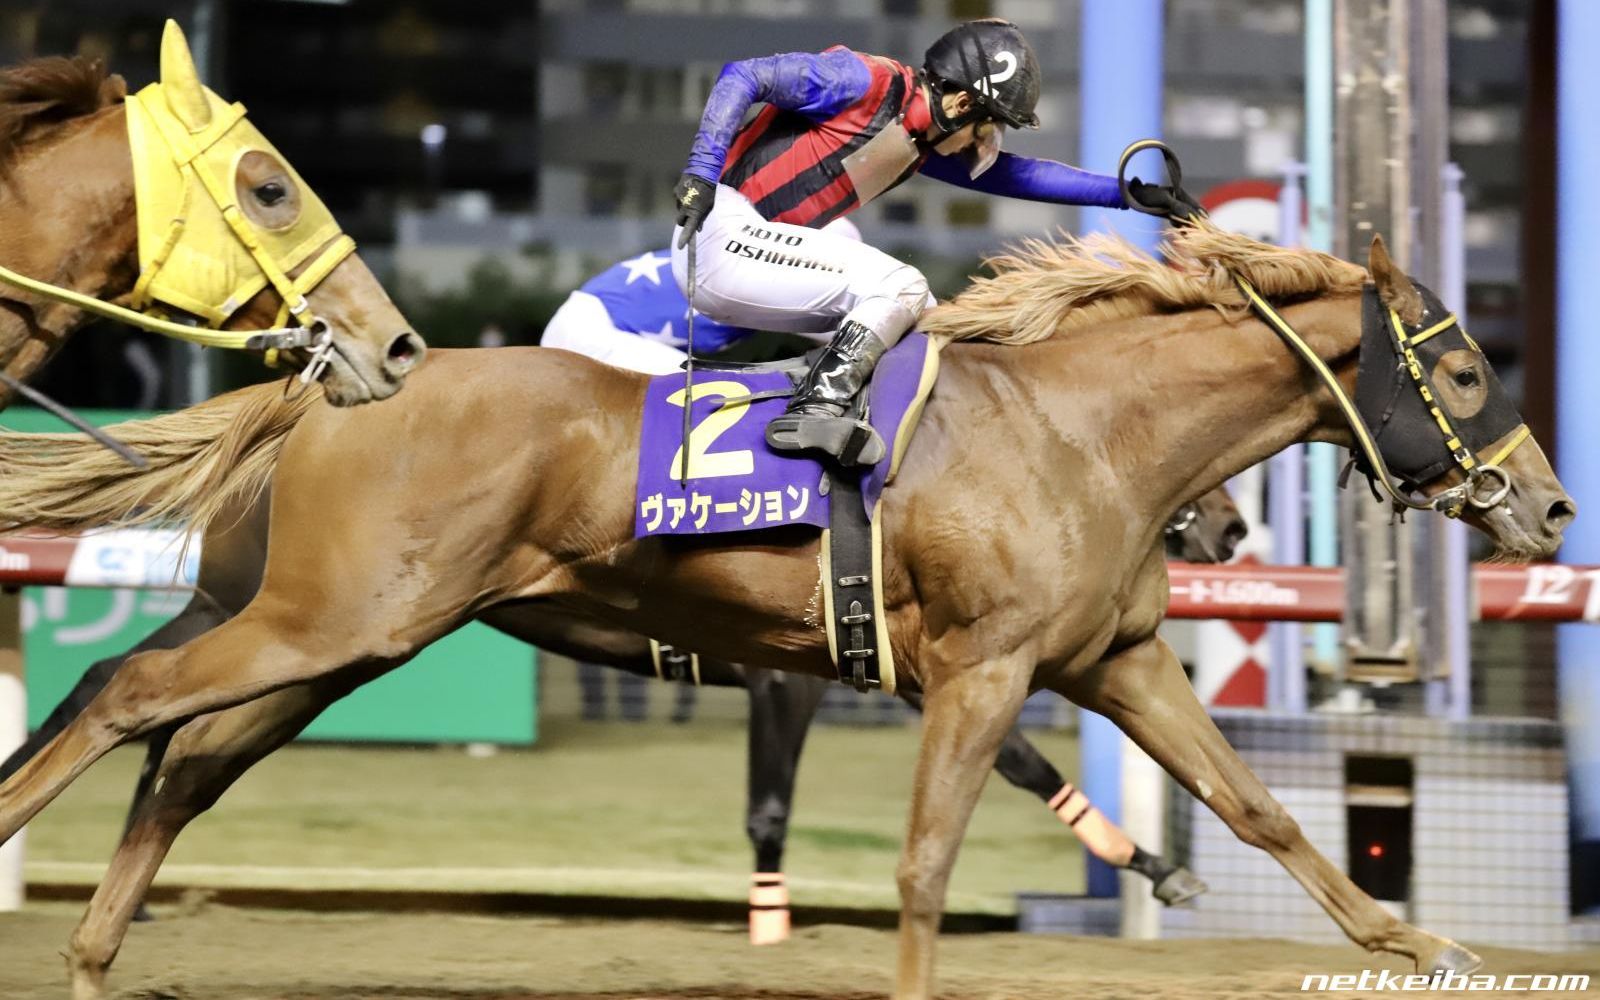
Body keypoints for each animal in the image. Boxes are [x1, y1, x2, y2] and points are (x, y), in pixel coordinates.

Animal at [0, 484, 1239, 935]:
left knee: (155, 722)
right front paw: (768, 921)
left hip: (309, 641)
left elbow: (1024, 765)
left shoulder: (896, 669)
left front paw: (1160, 868)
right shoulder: (800, 679)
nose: (1226, 527)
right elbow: (774, 805)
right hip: (283, 619)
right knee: (117, 695)